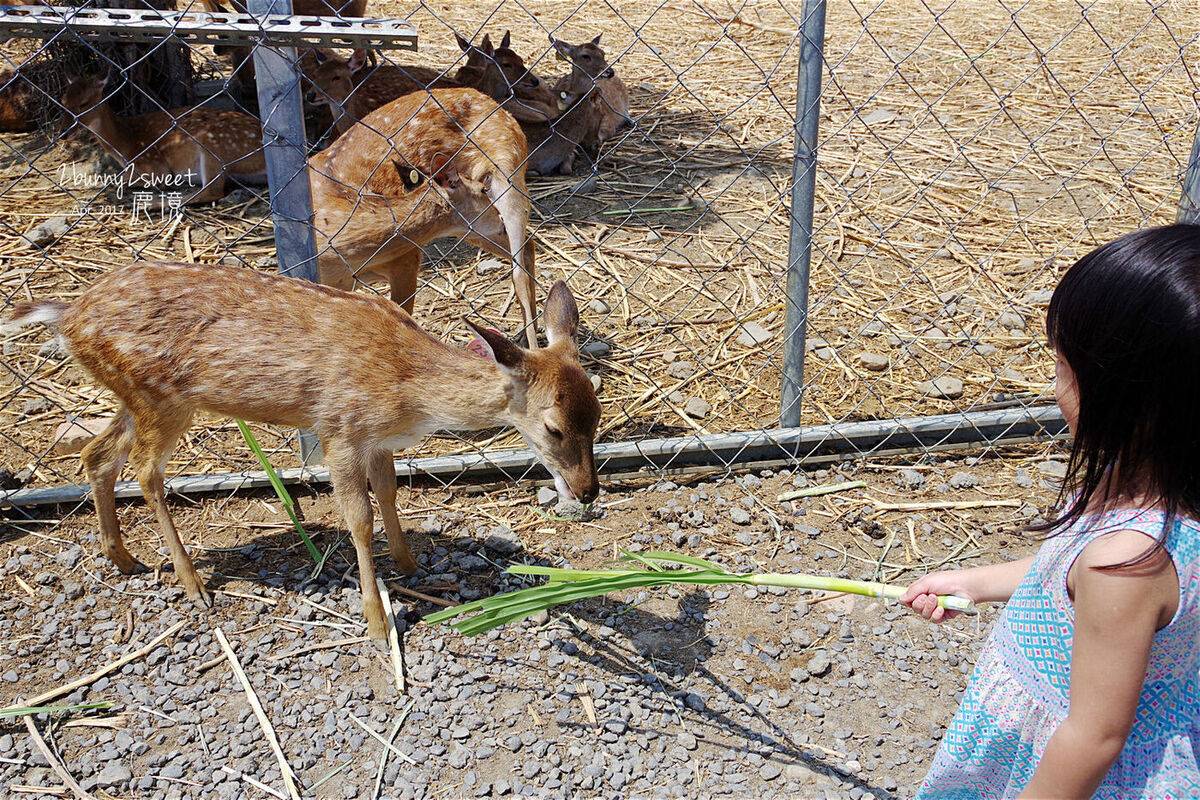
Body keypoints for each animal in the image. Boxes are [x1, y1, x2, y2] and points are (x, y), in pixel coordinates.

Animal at [0, 262, 600, 642]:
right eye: (553, 428)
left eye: (596, 413)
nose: (589, 490)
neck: (408, 392)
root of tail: (67, 316)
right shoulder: (339, 430)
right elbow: (358, 520)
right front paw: (377, 623)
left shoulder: (378, 441)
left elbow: (390, 494)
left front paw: (411, 563)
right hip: (162, 399)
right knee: (146, 472)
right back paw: (193, 583)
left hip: (135, 397)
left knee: (97, 454)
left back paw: (123, 558)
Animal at [60, 72, 265, 203]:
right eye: (62, 101)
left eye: (84, 103)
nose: (63, 133)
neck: (125, 142)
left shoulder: (153, 164)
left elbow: (117, 179)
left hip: (214, 145)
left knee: (210, 192)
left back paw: (151, 204)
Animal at [309, 89, 540, 347]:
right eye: (481, 190)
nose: (499, 221)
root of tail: (495, 102)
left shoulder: (408, 259)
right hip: (472, 228)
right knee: (527, 248)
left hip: (508, 174)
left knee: (519, 268)